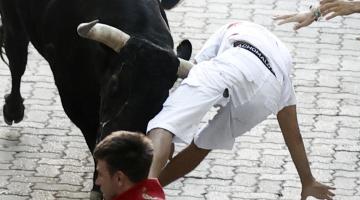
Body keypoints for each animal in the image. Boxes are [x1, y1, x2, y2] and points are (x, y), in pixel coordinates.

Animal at [0, 0, 190, 198]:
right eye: (114, 83)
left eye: (162, 99)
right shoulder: (74, 95)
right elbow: (94, 137)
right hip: (12, 17)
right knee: (17, 57)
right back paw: (13, 109)